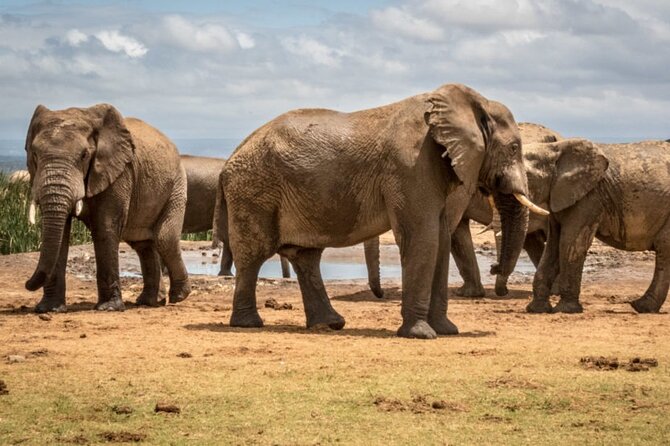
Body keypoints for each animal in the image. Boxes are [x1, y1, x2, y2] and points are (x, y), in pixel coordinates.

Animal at [23, 104, 191, 313]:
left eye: (84, 155)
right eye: (34, 154)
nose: (26, 284)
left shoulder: (119, 173)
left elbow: (105, 228)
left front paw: (109, 308)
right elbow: (62, 235)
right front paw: (49, 309)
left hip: (176, 185)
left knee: (164, 238)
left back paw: (179, 296)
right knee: (142, 244)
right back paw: (149, 301)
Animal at [215, 83, 548, 339]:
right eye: (514, 148)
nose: (494, 268)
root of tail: (230, 158)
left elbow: (440, 239)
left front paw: (446, 331)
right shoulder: (410, 167)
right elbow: (423, 237)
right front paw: (421, 335)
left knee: (306, 257)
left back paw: (330, 324)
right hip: (253, 191)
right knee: (254, 254)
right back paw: (249, 324)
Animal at [527, 138, 670, 314]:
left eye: (526, 175)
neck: (554, 148)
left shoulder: (590, 197)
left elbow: (570, 244)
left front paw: (566, 310)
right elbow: (553, 246)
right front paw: (536, 309)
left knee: (664, 248)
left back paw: (641, 307)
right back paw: (642, 307)